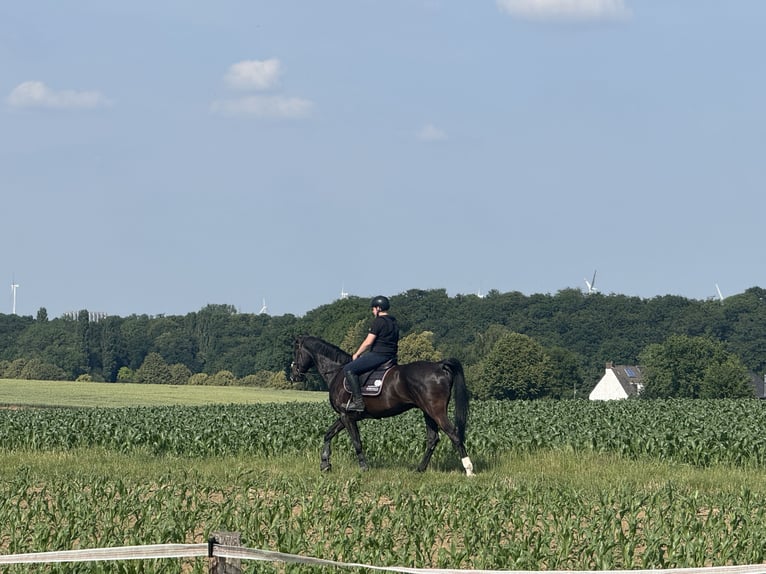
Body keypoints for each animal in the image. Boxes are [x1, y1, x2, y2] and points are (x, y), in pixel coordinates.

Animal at [290, 335, 474, 475]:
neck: (338, 371)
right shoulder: (345, 417)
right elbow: (328, 434)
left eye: (296, 352)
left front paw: (364, 467)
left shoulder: (346, 416)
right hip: (427, 412)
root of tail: (439, 365)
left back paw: (469, 470)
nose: (294, 376)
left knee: (454, 435)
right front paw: (325, 463)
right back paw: (419, 469)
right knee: (433, 439)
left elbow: (356, 442)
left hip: (436, 411)